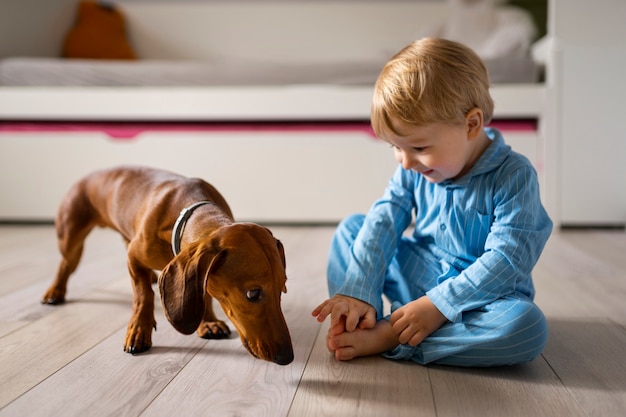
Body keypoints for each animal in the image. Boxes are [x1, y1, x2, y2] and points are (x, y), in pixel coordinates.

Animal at [40, 165, 292, 364]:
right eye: (253, 294)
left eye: (282, 289)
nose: (287, 357)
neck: (183, 213)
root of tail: (88, 176)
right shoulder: (134, 257)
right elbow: (143, 296)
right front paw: (138, 330)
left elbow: (204, 294)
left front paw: (208, 322)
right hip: (70, 239)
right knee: (65, 265)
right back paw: (55, 291)